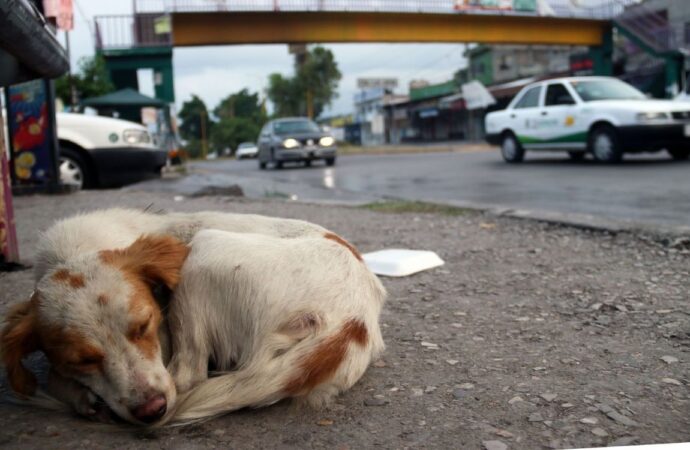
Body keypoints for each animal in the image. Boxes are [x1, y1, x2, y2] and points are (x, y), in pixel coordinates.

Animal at [0, 208, 384, 426]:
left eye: (145, 325)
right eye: (82, 359)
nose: (151, 411)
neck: (73, 252)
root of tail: (353, 320)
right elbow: (55, 374)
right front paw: (80, 394)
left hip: (202, 251)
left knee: (188, 375)